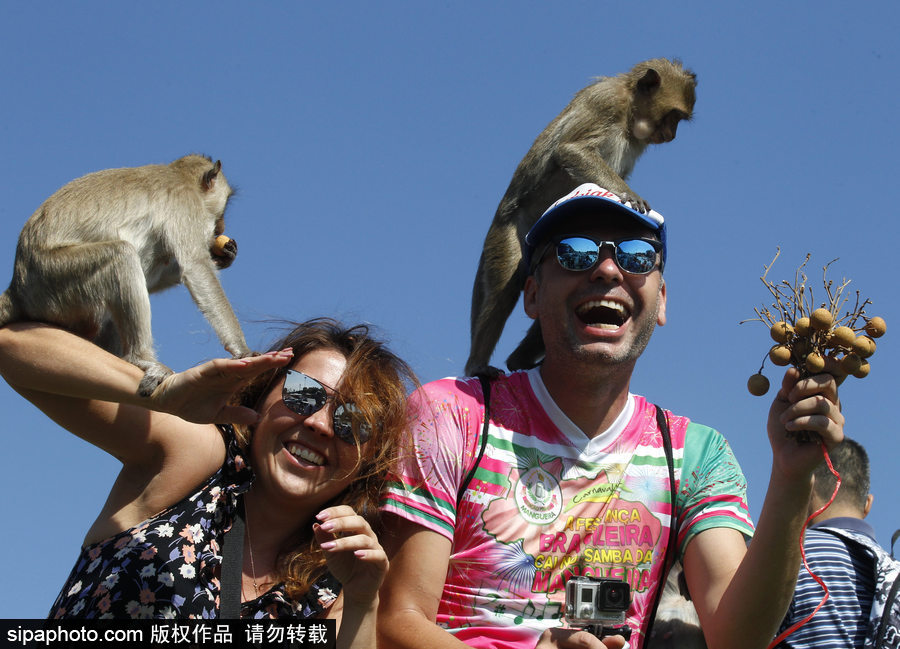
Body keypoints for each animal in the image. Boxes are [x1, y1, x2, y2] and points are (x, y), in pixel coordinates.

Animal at [0, 154, 251, 394]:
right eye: (223, 208)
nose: (221, 226)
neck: (179, 175)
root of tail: (17, 288)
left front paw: (222, 257)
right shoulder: (185, 204)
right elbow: (195, 266)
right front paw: (243, 350)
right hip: (53, 278)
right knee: (121, 256)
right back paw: (139, 359)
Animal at [464, 58, 696, 378]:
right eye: (673, 116)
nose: (671, 133)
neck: (629, 110)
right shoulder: (606, 102)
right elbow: (570, 150)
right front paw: (628, 194)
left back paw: (518, 360)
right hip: (507, 231)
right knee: (504, 289)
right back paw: (478, 364)